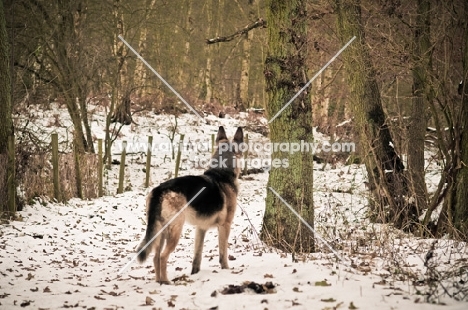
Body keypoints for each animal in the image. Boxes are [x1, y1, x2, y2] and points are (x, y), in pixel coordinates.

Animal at [136, 126, 243, 284]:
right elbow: (223, 254)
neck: (221, 173)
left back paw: (159, 282)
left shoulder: (201, 229)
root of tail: (159, 191)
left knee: (156, 257)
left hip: (160, 232)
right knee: (162, 256)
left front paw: (195, 274)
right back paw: (166, 282)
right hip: (175, 230)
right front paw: (226, 270)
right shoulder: (225, 226)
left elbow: (197, 257)